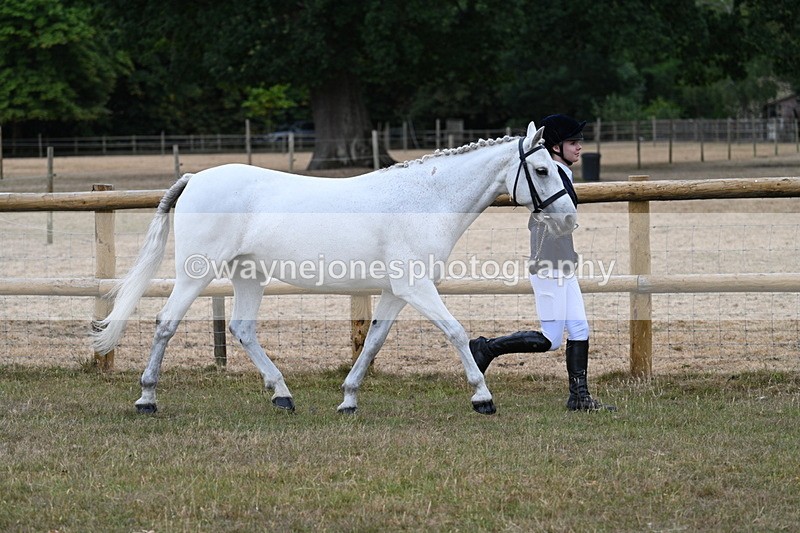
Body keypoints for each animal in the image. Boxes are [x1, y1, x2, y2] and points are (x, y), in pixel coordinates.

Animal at [92, 121, 577, 415]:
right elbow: (456, 332)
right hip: (197, 272)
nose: (570, 219)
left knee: (242, 329)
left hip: (249, 275)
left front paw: (348, 399)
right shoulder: (416, 287)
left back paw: (283, 396)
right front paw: (483, 398)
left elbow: (374, 341)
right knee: (165, 323)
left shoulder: (396, 292)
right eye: (541, 169)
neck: (423, 202)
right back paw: (147, 398)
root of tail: (196, 177)